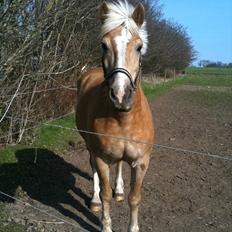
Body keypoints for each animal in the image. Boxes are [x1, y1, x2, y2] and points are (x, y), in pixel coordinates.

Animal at [76, 0, 154, 231]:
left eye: (139, 46)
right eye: (104, 45)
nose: (120, 95)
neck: (125, 120)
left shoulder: (141, 162)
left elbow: (134, 198)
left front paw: (133, 226)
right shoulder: (101, 158)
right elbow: (105, 195)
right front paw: (106, 225)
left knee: (119, 164)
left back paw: (119, 189)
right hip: (90, 146)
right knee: (93, 168)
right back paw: (93, 201)